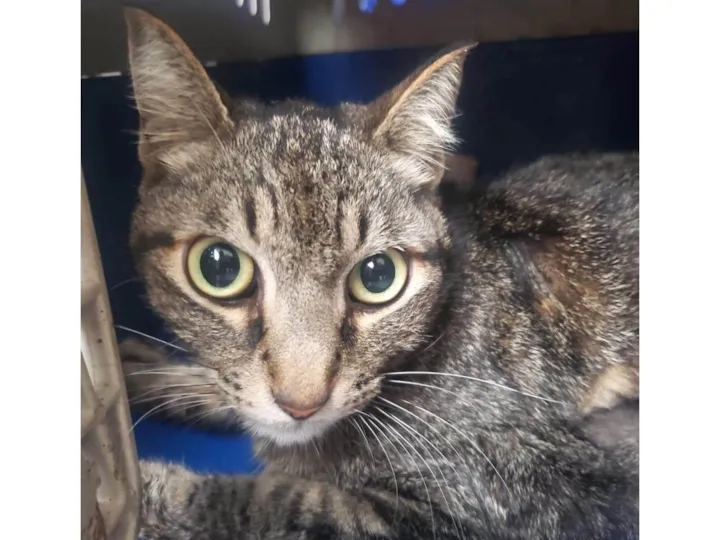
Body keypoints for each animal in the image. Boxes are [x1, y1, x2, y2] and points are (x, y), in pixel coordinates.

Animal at [120, 7, 638, 539]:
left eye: (377, 276)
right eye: (219, 268)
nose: (301, 403)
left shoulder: (494, 504)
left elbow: (266, 500)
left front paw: (140, 490)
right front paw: (141, 374)